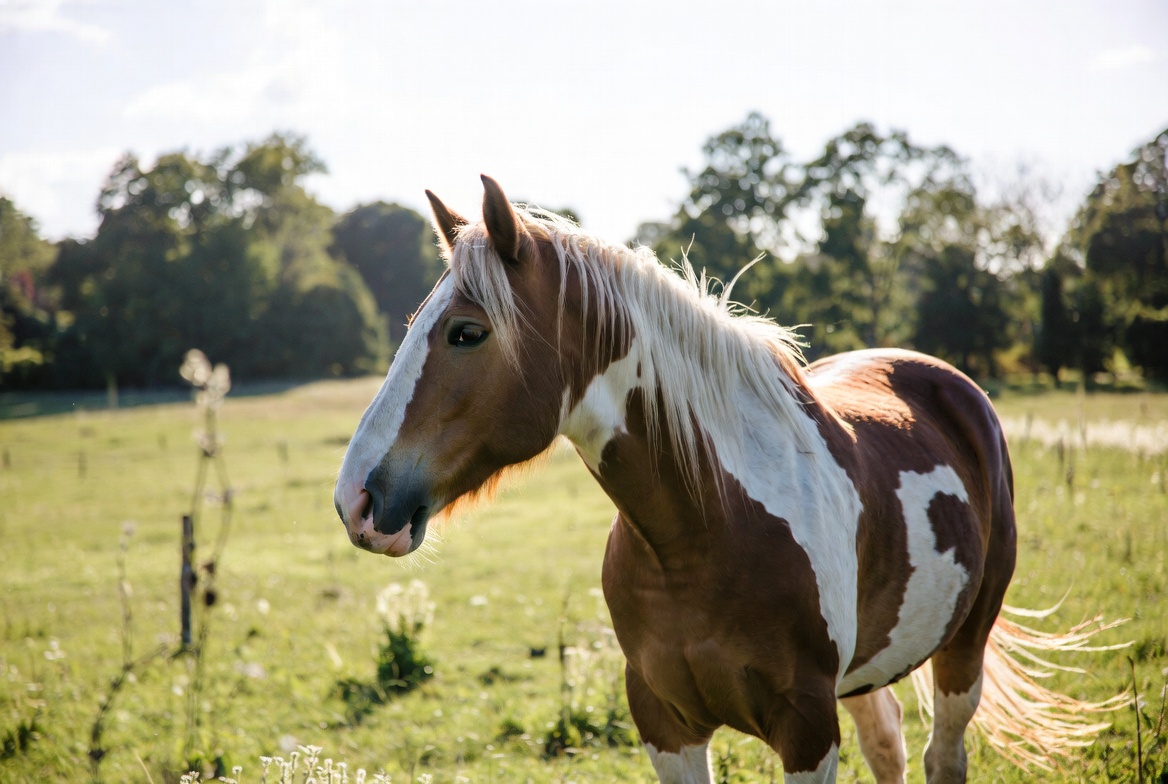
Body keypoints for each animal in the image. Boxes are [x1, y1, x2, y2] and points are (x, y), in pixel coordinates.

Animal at [334, 176, 1119, 783]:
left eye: (466, 332)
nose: (356, 500)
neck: (705, 532)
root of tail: (950, 383)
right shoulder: (666, 725)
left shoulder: (807, 731)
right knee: (889, 745)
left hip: (964, 646)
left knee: (941, 755)